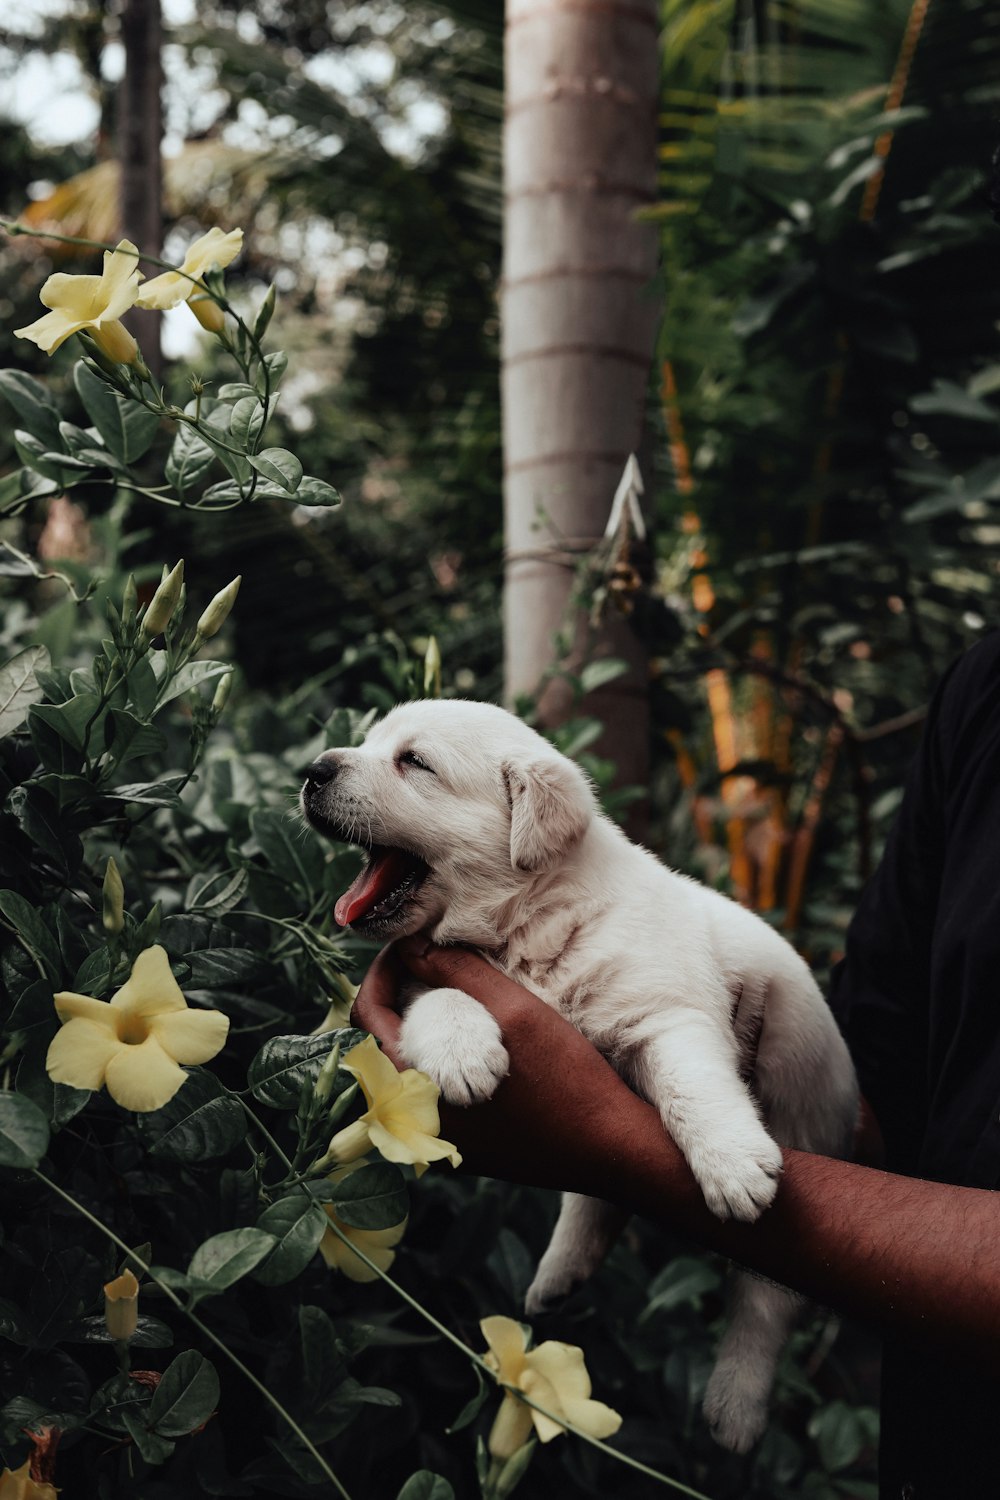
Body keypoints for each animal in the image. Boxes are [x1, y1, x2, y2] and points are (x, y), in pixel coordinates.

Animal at [299, 702, 863, 1452]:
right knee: (601, 1195)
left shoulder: (668, 1012)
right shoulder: (422, 974)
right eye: (367, 743)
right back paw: (557, 1277)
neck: (524, 926)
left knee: (765, 1298)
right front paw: (462, 1053)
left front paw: (733, 1162)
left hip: (808, 1114)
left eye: (414, 762)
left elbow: (693, 1087)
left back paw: (734, 1408)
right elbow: (443, 998)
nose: (312, 769)